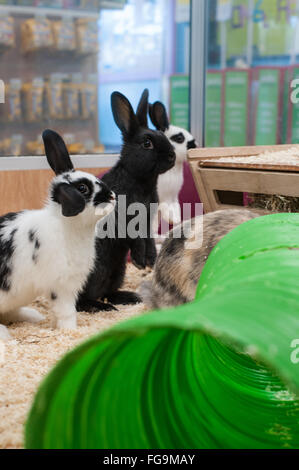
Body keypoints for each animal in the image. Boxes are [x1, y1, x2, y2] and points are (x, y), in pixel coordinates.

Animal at [0, 130, 116, 340]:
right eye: (83, 189)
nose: (112, 196)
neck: (67, 225)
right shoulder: (61, 286)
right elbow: (66, 312)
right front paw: (71, 331)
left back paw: (32, 316)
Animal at [77, 91, 177, 312]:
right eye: (147, 143)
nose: (172, 156)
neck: (140, 180)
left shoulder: (148, 220)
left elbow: (148, 238)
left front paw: (151, 260)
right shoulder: (125, 219)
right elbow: (136, 238)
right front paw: (141, 261)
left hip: (118, 271)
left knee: (108, 292)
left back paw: (129, 297)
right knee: (81, 299)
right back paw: (100, 307)